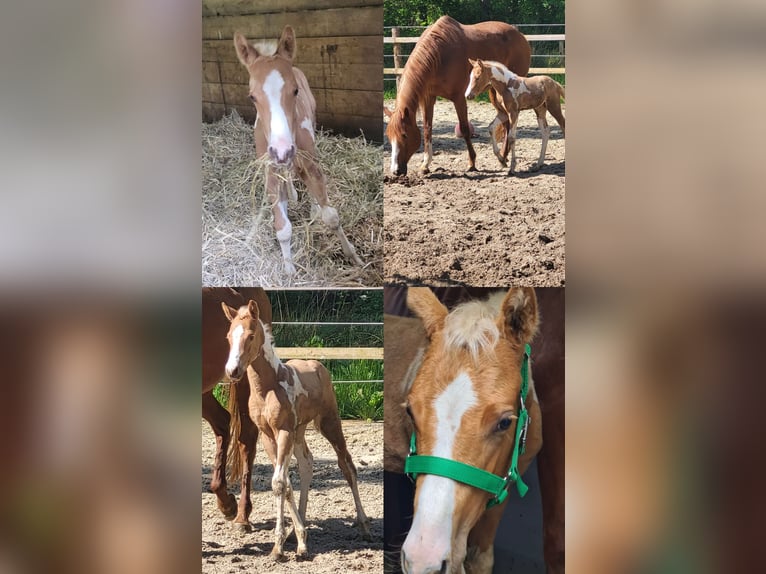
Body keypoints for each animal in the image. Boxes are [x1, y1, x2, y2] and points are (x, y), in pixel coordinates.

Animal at [222, 298, 372, 559]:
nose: (233, 371)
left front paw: (279, 547)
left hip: (329, 422)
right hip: (299, 431)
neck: (268, 387)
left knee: (347, 466)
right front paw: (299, 538)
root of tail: (318, 365)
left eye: (251, 335)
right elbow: (285, 482)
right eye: (229, 336)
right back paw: (297, 531)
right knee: (307, 464)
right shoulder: (268, 436)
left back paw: (363, 526)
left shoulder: (283, 432)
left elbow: (279, 483)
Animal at [233, 26, 362, 275]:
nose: (282, 151)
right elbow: (282, 228)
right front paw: (289, 272)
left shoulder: (310, 164)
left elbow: (331, 217)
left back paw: (311, 207)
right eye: (252, 96)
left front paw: (354, 257)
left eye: (295, 91)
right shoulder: (271, 173)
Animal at [386, 16, 530, 176]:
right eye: (389, 136)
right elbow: (427, 129)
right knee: (505, 123)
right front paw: (425, 164)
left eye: (404, 135)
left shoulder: (459, 98)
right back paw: (503, 157)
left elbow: (465, 129)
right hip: (495, 93)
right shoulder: (428, 98)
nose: (396, 171)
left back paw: (504, 157)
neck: (439, 56)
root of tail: (519, 36)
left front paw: (472, 163)